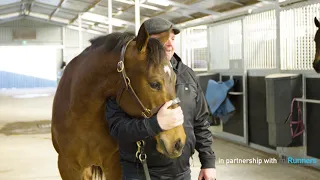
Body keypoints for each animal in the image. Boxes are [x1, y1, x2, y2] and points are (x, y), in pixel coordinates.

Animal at [51, 23, 186, 179]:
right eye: (154, 84)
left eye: (174, 79)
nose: (179, 142)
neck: (82, 116)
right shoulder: (68, 167)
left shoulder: (114, 165)